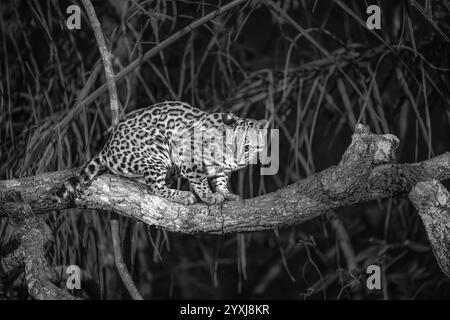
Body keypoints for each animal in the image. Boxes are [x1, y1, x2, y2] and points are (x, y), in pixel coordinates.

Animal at [54, 102, 268, 205]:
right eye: (232, 144)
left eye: (248, 147)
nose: (238, 161)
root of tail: (107, 146)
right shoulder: (185, 152)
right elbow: (200, 179)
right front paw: (209, 196)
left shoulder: (220, 169)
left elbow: (220, 179)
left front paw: (226, 193)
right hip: (156, 149)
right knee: (154, 188)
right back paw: (183, 195)